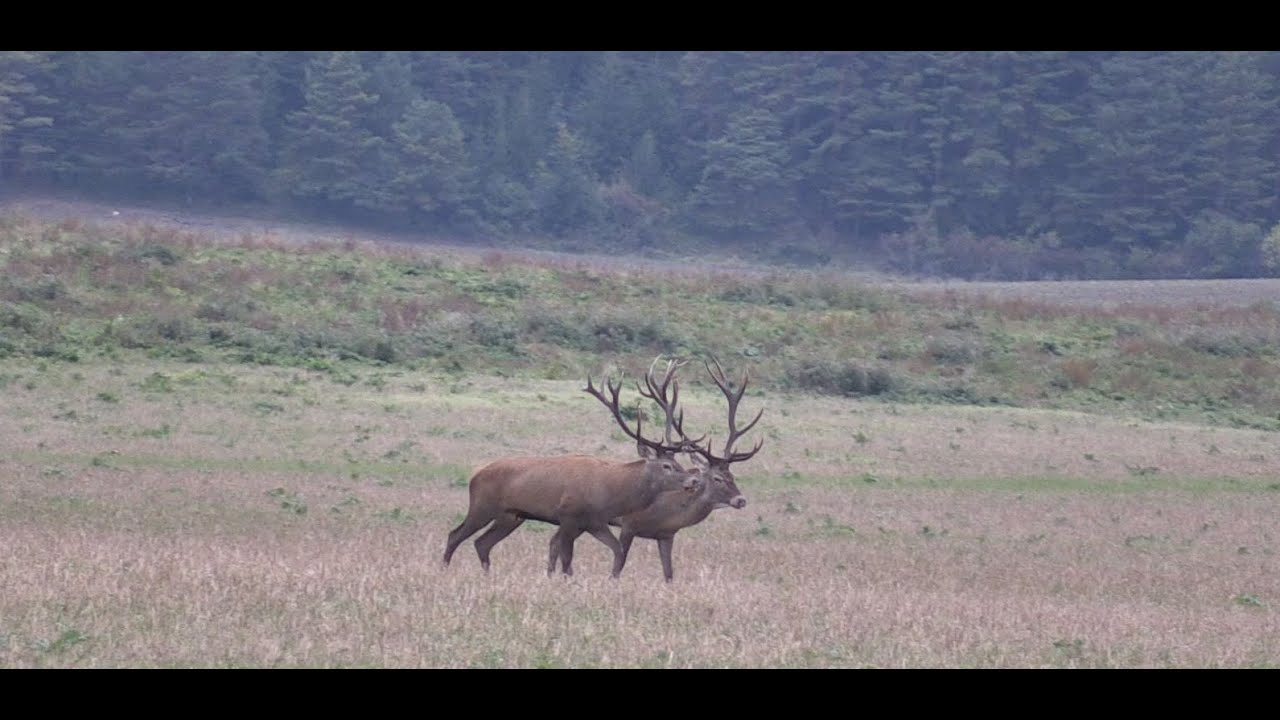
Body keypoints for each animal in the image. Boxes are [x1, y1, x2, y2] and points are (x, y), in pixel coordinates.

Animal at [441, 360, 700, 577]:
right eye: (667, 465)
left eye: (679, 463)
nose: (694, 481)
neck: (610, 494)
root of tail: (475, 474)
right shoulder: (568, 516)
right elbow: (567, 558)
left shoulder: (594, 522)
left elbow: (617, 550)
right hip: (482, 505)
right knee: (455, 535)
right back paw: (444, 570)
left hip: (511, 516)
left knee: (482, 543)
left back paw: (487, 575)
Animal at [550, 356, 762, 582]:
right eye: (717, 478)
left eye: (732, 475)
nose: (741, 500)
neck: (667, 510)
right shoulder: (629, 524)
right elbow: (618, 566)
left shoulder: (666, 535)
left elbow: (669, 573)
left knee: (555, 542)